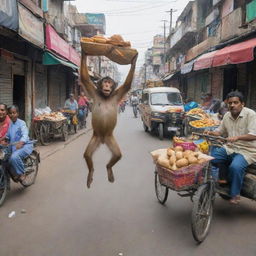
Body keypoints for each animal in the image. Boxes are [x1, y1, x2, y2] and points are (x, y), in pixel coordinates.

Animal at [80, 52, 138, 188]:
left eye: (110, 83)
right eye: (105, 82)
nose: (106, 85)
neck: (106, 96)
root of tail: (102, 140)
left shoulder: (117, 93)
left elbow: (127, 85)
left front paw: (133, 61)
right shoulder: (93, 91)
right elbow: (85, 78)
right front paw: (84, 53)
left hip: (110, 138)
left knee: (117, 155)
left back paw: (108, 168)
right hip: (95, 137)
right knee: (88, 154)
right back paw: (91, 172)